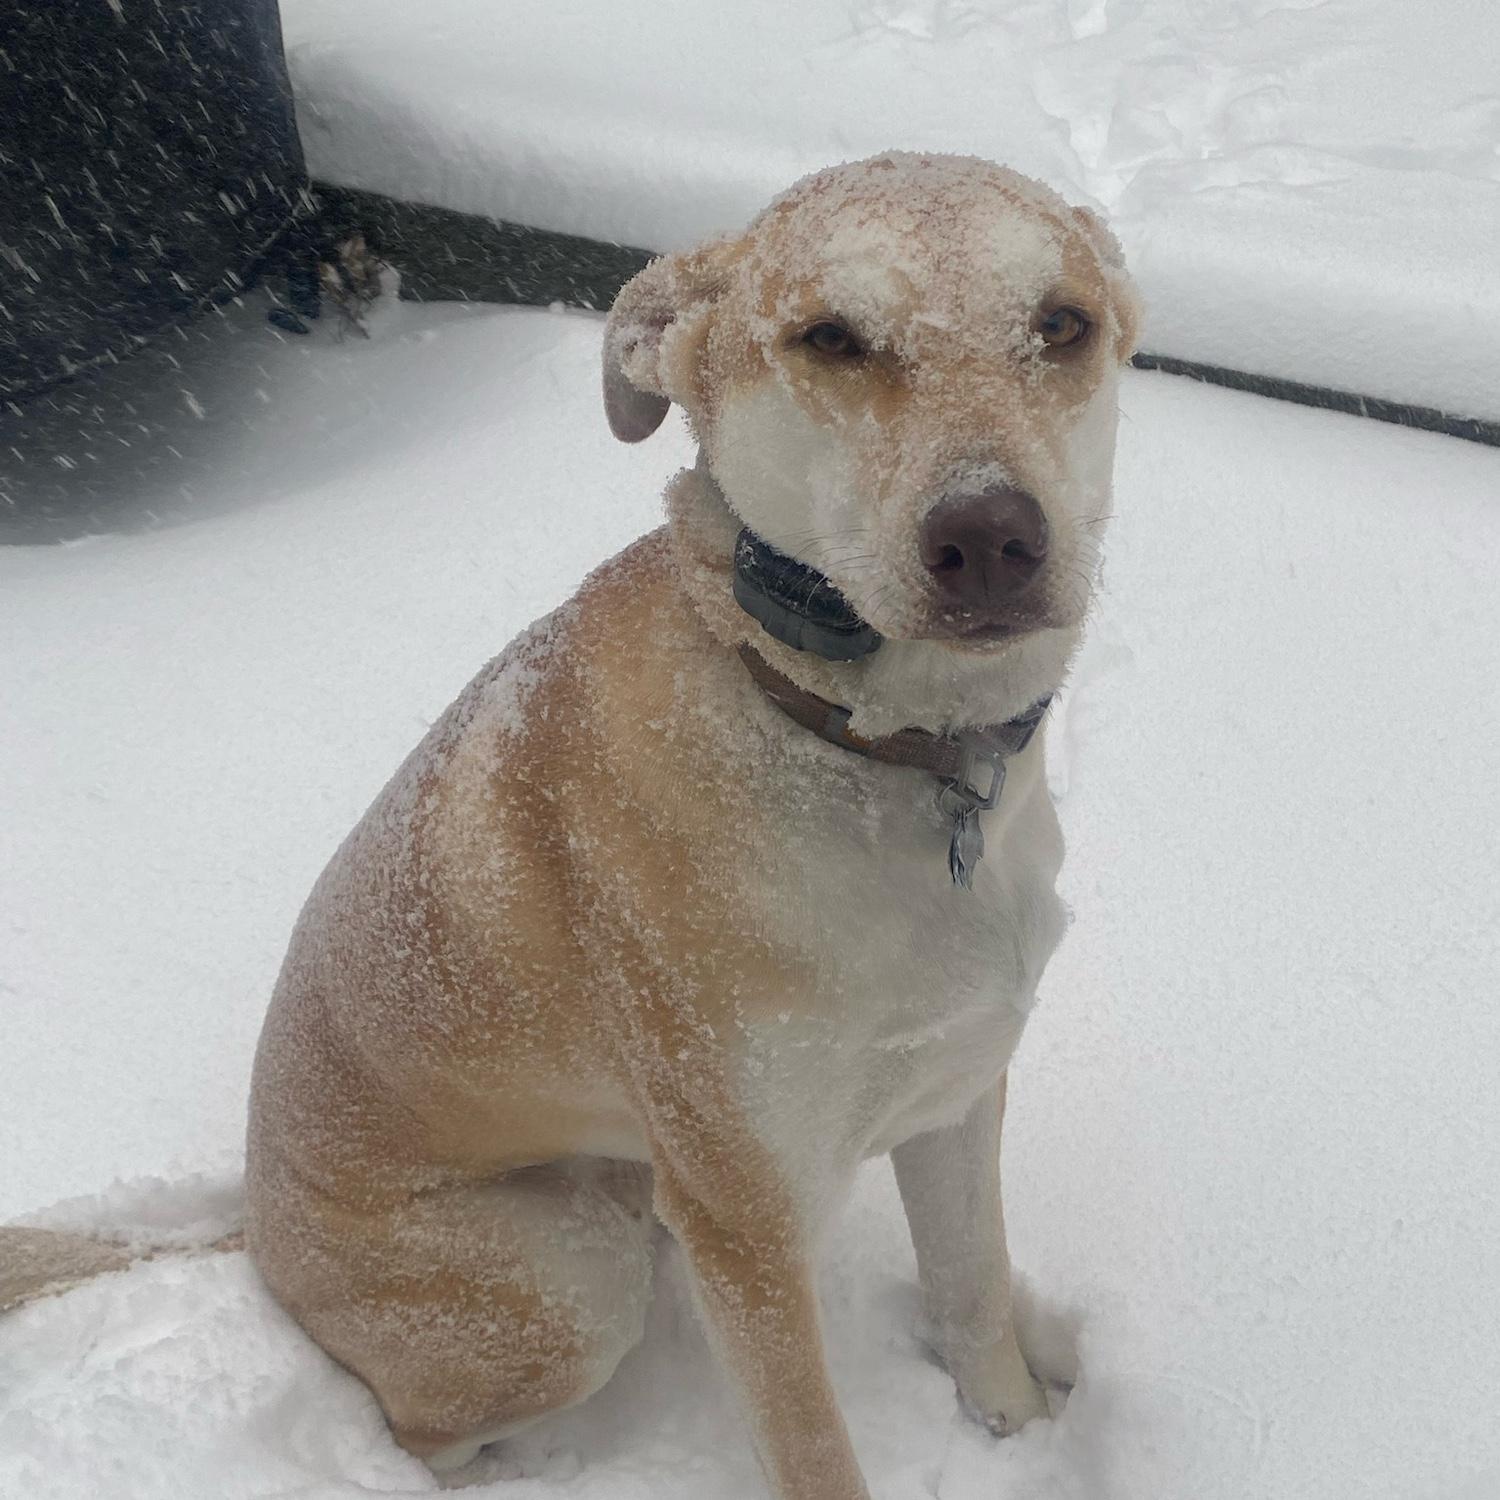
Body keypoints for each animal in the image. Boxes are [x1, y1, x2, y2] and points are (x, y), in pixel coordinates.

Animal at [243, 152, 1139, 1500]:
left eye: (1063, 324)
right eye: (832, 337)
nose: (988, 538)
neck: (866, 743)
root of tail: (249, 1224)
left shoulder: (955, 1088)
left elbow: (974, 1292)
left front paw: (1020, 1429)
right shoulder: (743, 1216)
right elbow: (814, 1452)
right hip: (564, 1287)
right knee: (423, 1431)